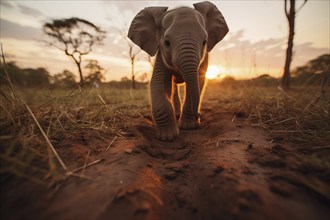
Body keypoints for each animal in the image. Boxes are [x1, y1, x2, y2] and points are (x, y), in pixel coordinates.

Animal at [127, 0, 228, 141]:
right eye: (167, 43)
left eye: (204, 42)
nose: (198, 116)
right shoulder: (161, 53)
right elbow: (158, 82)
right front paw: (167, 137)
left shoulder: (204, 57)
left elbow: (198, 81)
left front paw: (188, 127)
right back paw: (176, 115)